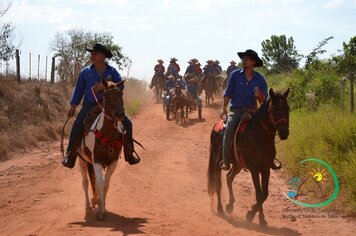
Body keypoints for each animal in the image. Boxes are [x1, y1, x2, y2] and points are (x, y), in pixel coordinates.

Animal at [76, 78, 126, 220]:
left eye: (120, 93)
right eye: (107, 95)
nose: (119, 114)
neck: (107, 132)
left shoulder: (113, 162)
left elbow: (105, 184)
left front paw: (102, 206)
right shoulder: (97, 161)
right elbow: (99, 182)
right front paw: (100, 210)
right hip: (81, 160)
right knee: (85, 182)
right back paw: (88, 204)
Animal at [209, 88, 290, 227]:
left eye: (287, 108)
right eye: (274, 109)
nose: (284, 132)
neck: (259, 138)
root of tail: (215, 127)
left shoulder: (266, 169)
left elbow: (264, 194)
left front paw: (252, 214)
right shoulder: (254, 169)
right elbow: (258, 193)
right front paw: (258, 218)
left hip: (237, 165)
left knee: (229, 177)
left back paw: (230, 205)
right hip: (217, 162)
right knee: (218, 183)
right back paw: (220, 209)